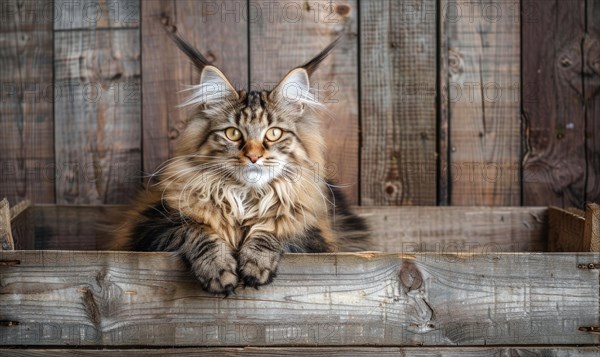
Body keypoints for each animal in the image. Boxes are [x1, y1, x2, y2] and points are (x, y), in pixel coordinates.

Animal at [111, 28, 370, 294]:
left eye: (273, 133)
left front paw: (255, 266)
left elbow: (272, 230)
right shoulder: (153, 224)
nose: (253, 156)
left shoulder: (312, 234)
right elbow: (197, 232)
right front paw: (219, 272)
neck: (246, 198)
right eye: (233, 133)